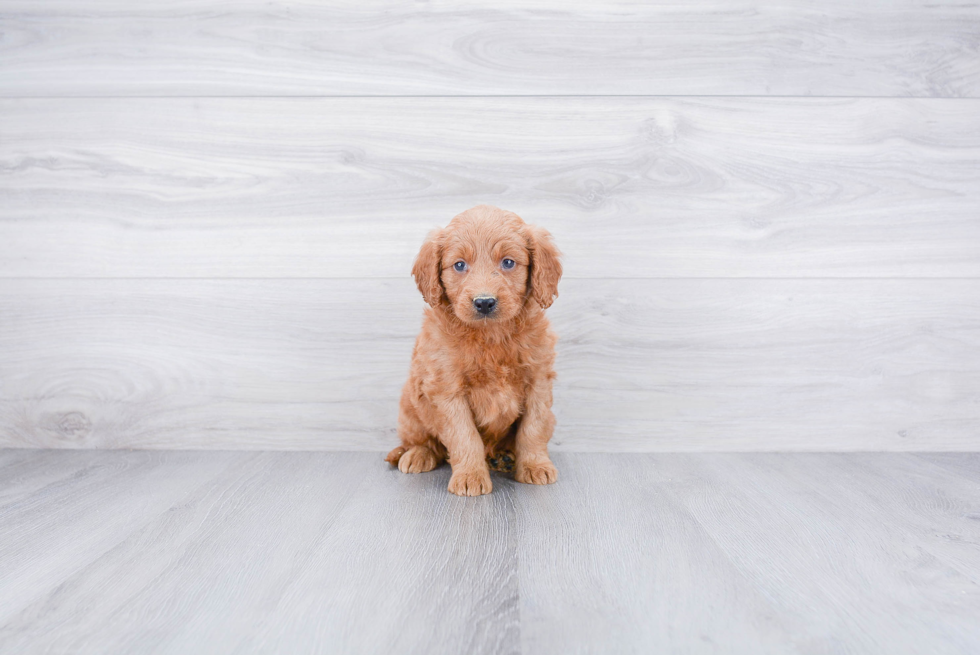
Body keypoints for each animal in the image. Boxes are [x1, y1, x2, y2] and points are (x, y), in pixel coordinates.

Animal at [386, 205, 564, 498]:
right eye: (459, 265)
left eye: (508, 262)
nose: (484, 302)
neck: (490, 336)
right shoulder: (447, 389)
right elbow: (464, 435)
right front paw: (470, 476)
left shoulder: (538, 380)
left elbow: (533, 428)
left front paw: (535, 466)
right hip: (410, 408)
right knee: (423, 441)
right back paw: (417, 455)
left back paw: (504, 457)